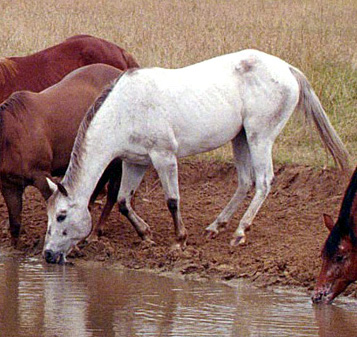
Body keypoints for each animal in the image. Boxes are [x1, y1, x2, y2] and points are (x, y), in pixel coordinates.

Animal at [0, 63, 122, 244]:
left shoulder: (41, 177)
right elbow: (15, 224)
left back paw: (95, 233)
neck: (10, 135)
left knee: (112, 193)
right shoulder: (9, 185)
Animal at [42, 48, 348, 264]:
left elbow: (172, 200)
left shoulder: (164, 157)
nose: (47, 254)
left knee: (263, 182)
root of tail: (286, 68)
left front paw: (179, 239)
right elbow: (123, 201)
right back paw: (216, 226)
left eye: (61, 216)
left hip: (259, 137)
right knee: (245, 182)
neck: (124, 110)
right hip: (240, 139)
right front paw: (146, 234)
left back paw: (240, 232)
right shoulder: (135, 162)